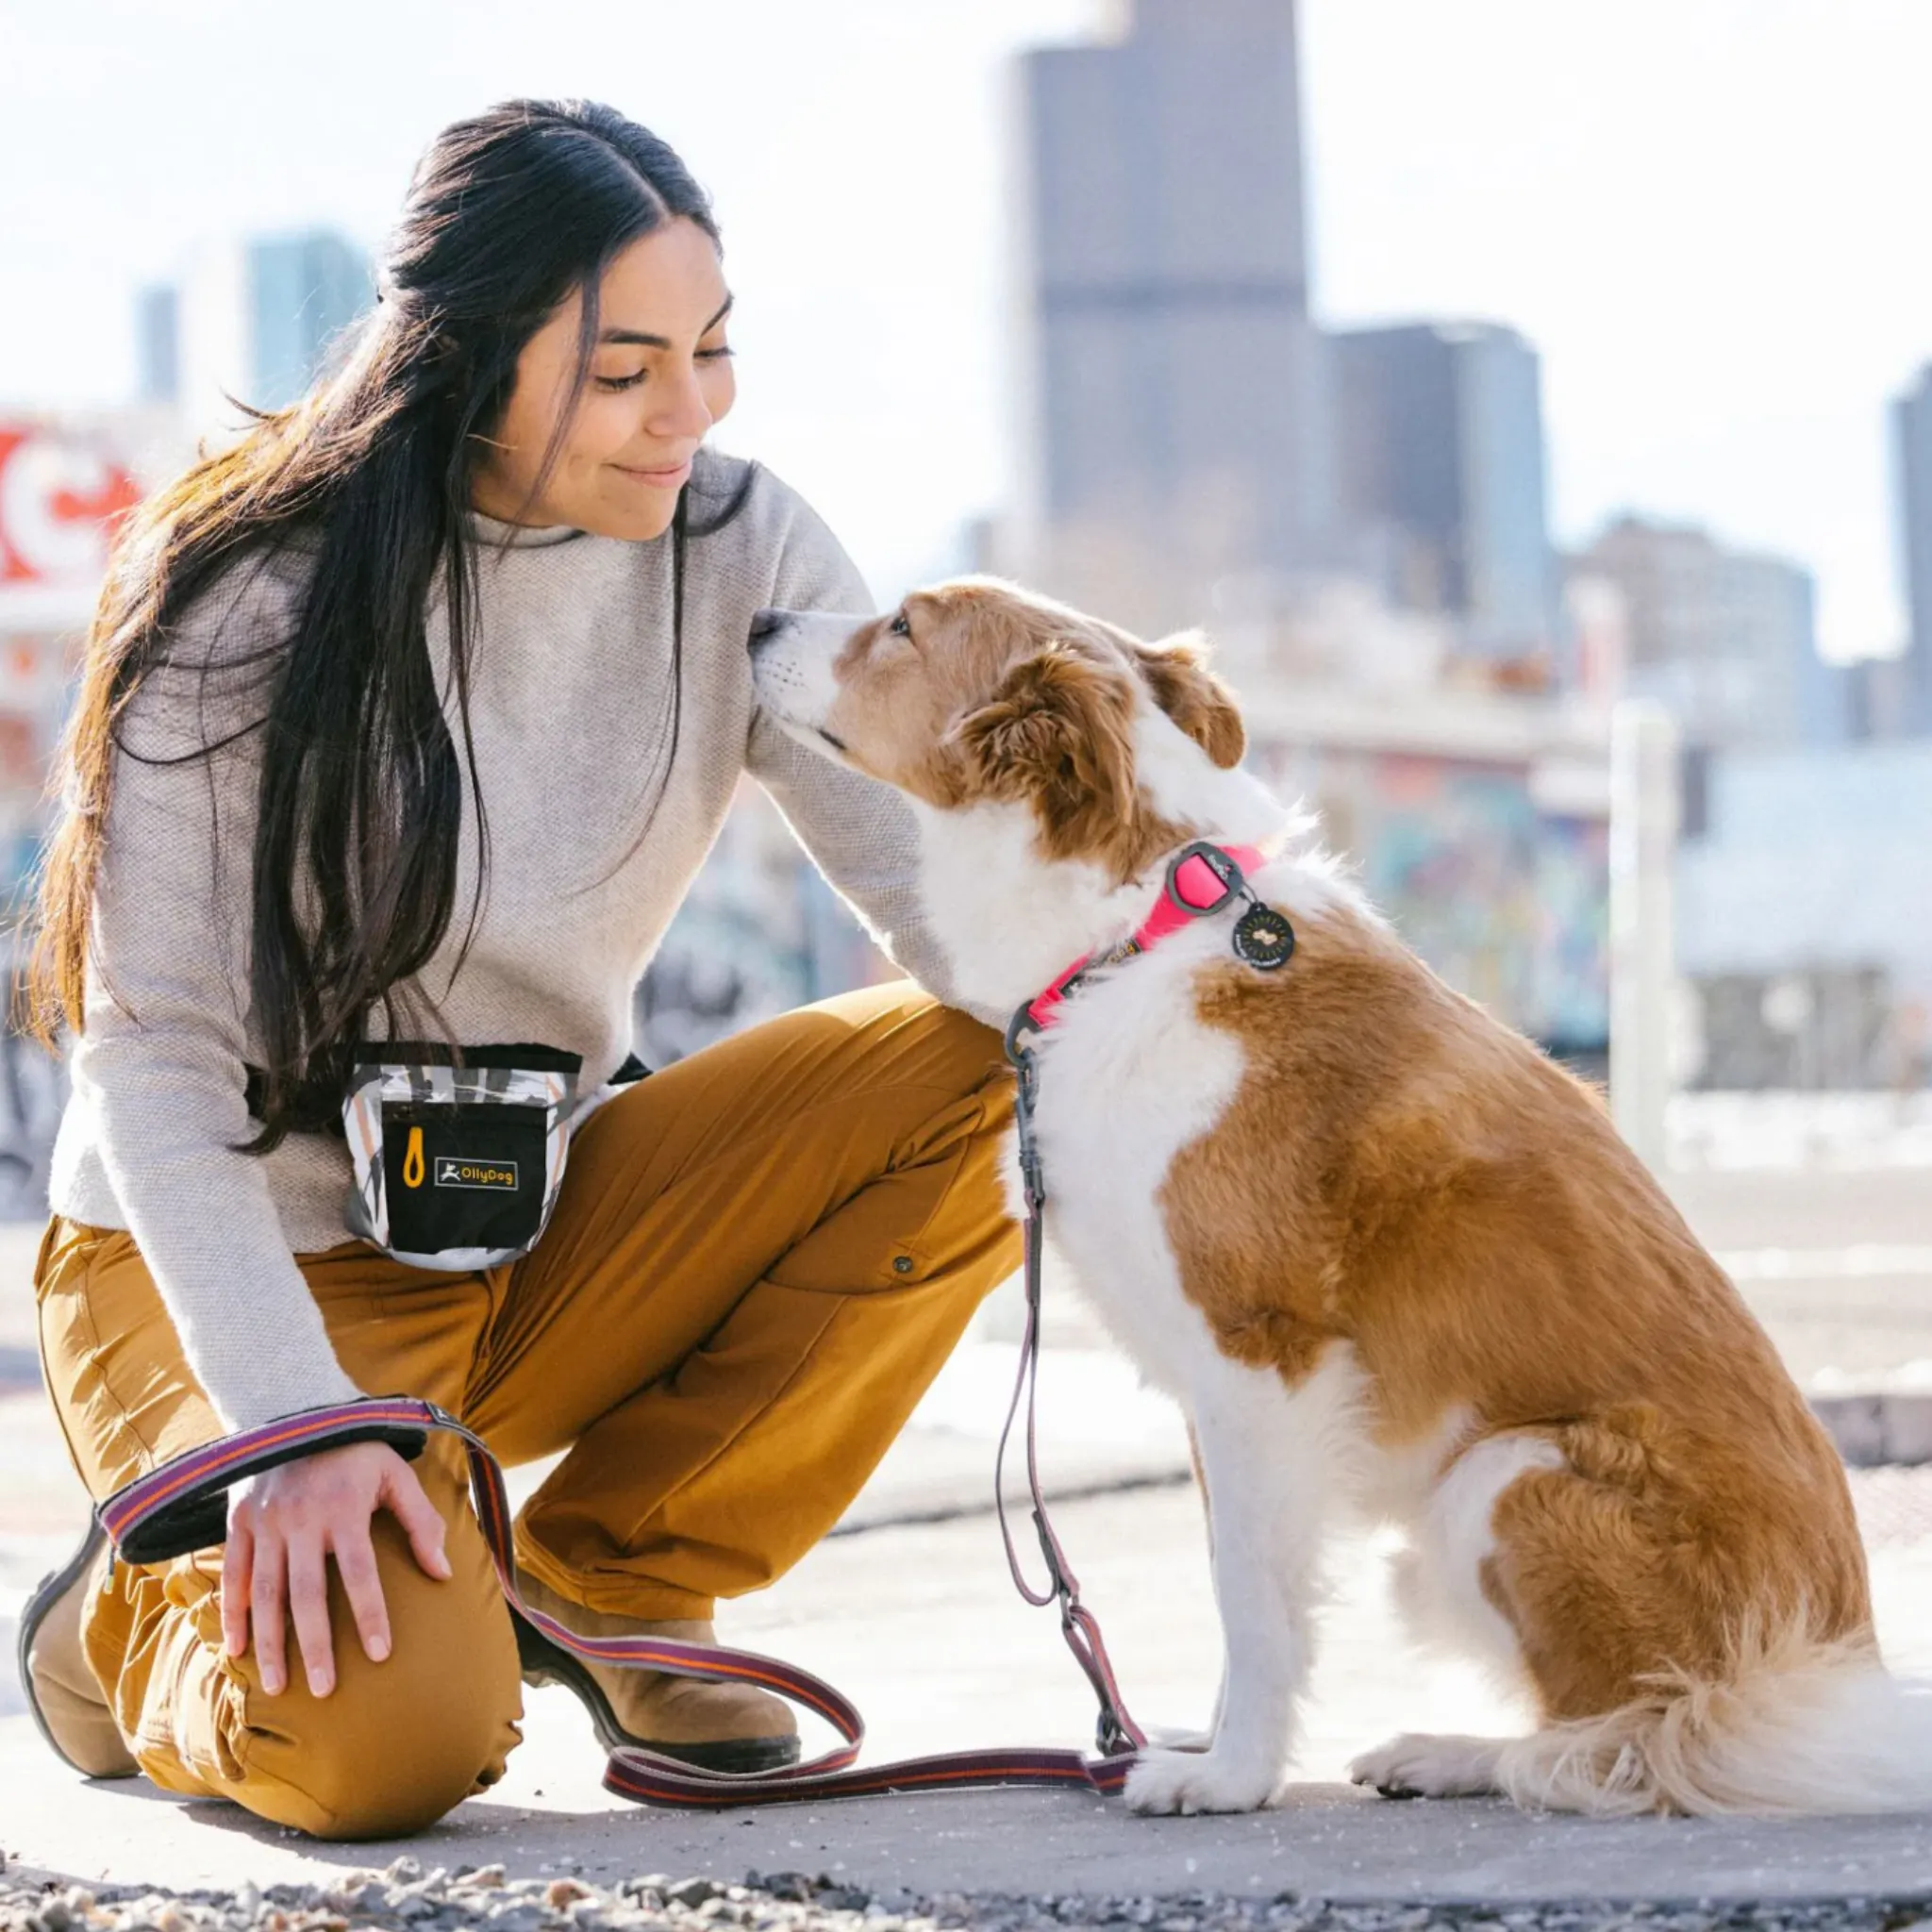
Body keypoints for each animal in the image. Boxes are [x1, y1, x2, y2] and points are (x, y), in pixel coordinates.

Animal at [745, 579, 1924, 1816]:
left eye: (901, 627)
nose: (757, 622)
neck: (1138, 925)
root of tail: (1825, 1658)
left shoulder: (1258, 1358)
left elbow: (1253, 1601)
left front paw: (1231, 1777)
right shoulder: (1217, 1391)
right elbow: (1236, 1575)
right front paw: (1205, 1742)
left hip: (1505, 1476)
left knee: (1633, 1737)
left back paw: (1461, 1752)